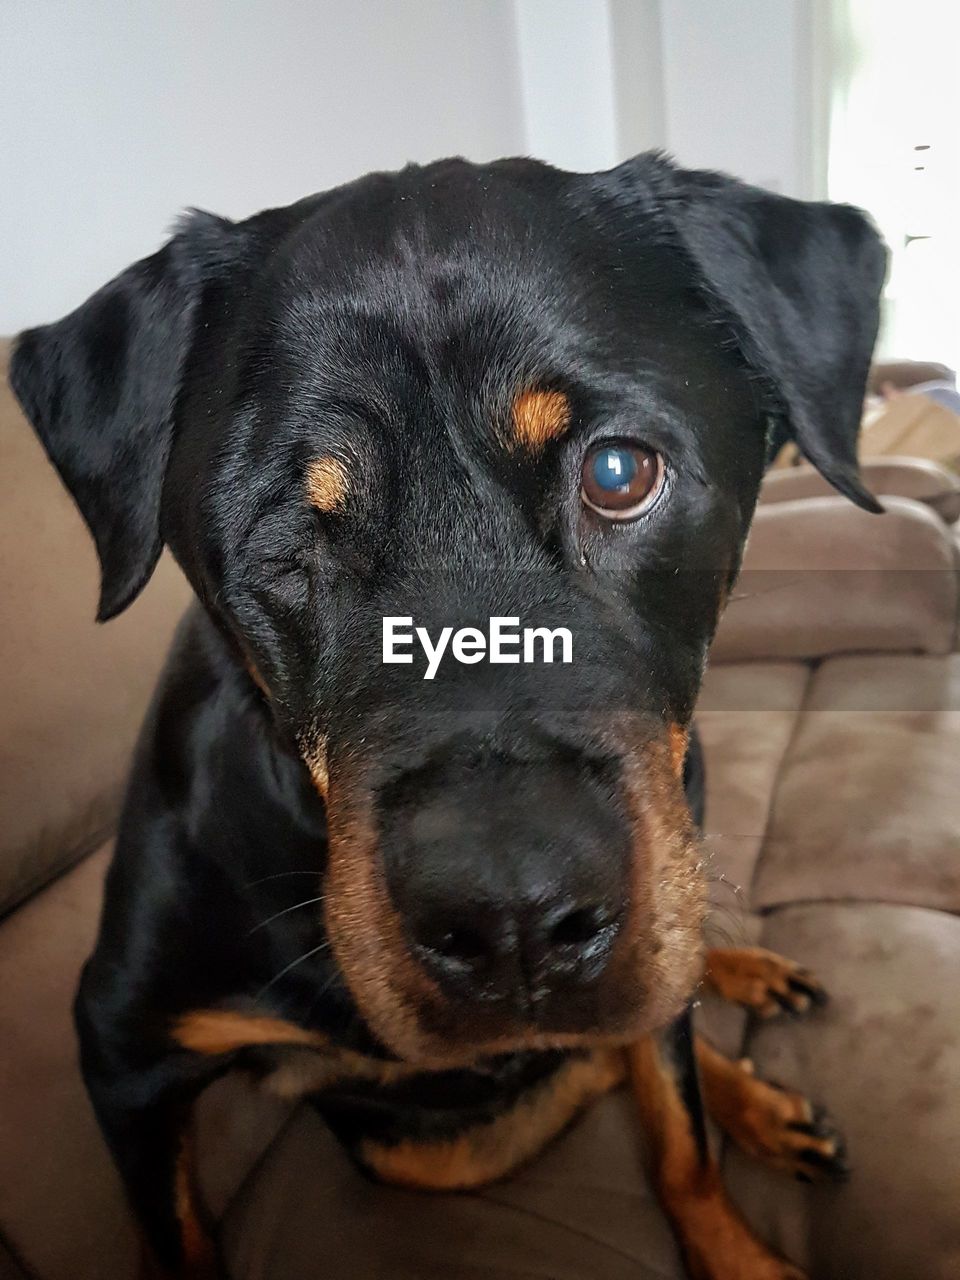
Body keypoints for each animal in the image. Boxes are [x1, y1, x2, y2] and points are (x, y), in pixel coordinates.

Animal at [13, 152, 885, 1280]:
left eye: (619, 472)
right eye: (286, 536)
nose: (516, 922)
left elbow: (679, 1132)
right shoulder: (121, 1047)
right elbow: (182, 1241)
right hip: (427, 1146)